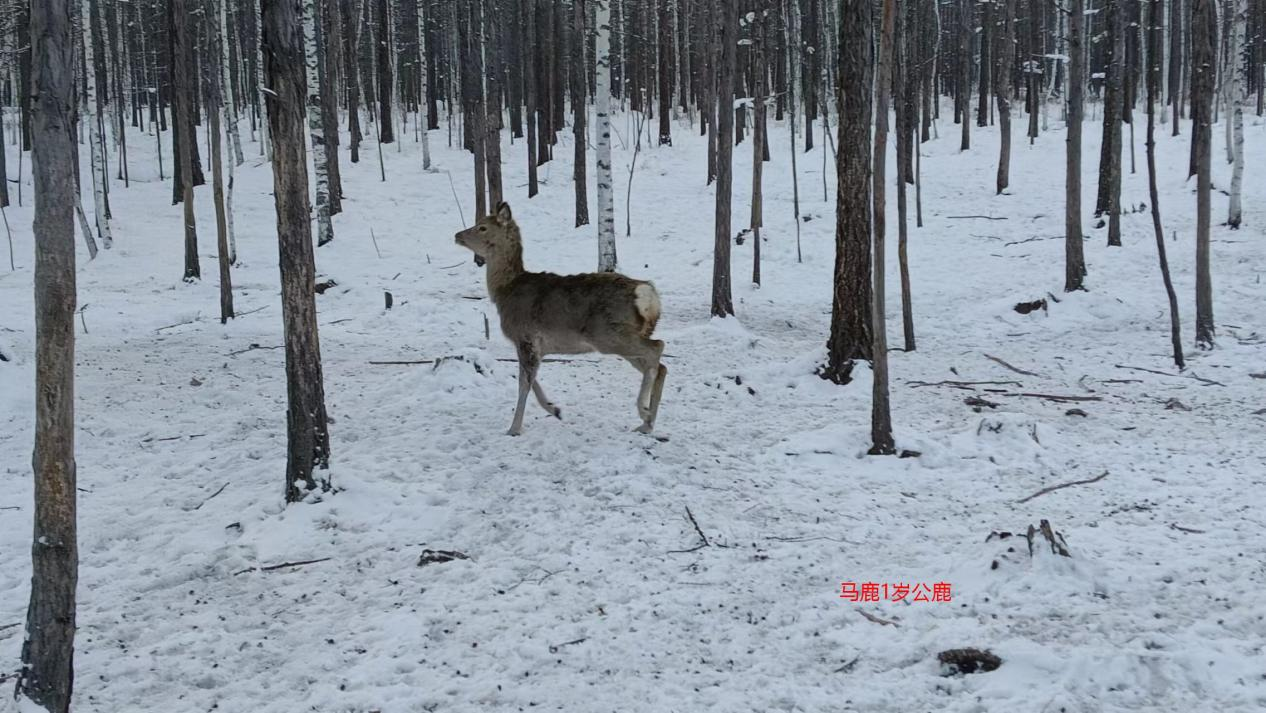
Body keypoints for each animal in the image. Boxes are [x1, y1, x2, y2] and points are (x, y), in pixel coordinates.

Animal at [455, 202, 668, 436]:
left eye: (482, 227)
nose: (457, 235)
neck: (505, 292)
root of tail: (648, 296)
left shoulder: (525, 336)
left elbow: (523, 383)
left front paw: (514, 428)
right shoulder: (536, 346)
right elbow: (532, 380)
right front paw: (554, 409)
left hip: (607, 334)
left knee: (657, 347)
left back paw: (644, 411)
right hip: (624, 336)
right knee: (660, 366)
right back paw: (647, 424)